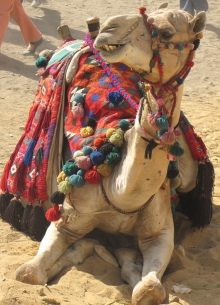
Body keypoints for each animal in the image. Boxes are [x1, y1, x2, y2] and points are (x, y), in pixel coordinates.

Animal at [1, 2, 213, 304]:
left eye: (166, 32)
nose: (109, 29)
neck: (120, 194)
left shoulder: (160, 233)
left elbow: (149, 288)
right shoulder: (65, 222)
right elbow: (28, 273)